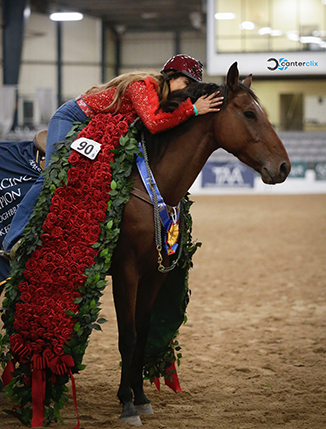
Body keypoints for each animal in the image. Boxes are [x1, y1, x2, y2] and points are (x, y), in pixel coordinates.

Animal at [109, 61, 290, 424]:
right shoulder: (125, 272)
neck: (146, 185)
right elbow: (128, 336)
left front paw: (141, 397)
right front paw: (126, 404)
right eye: (250, 113)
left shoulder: (154, 274)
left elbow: (143, 332)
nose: (284, 166)